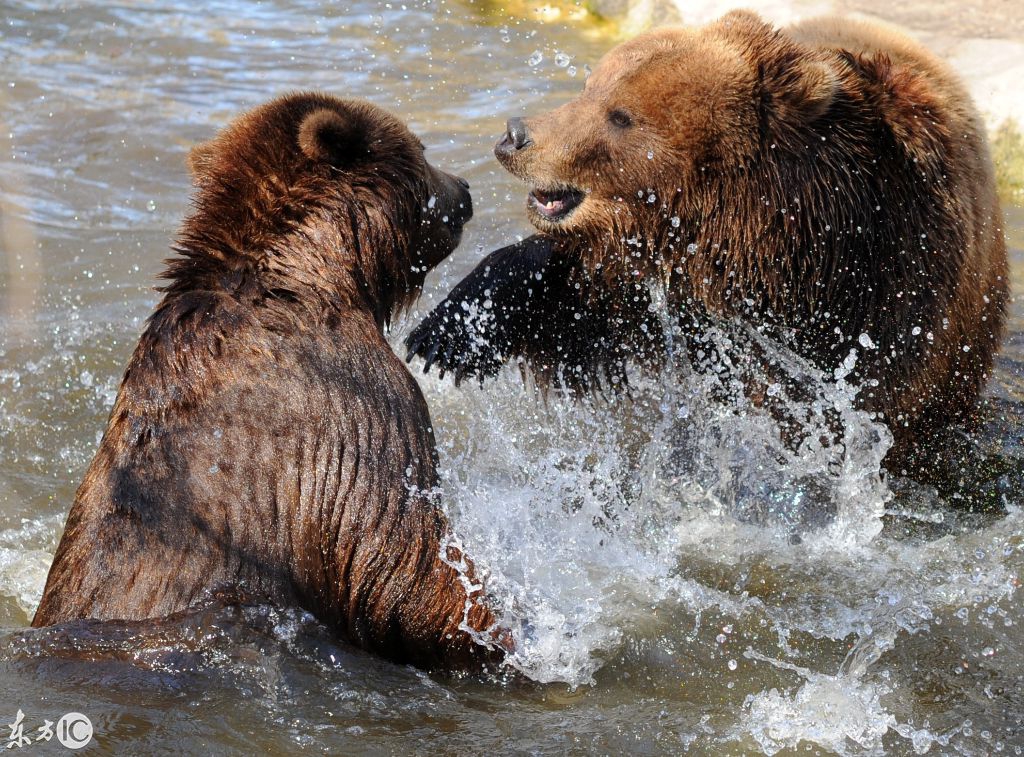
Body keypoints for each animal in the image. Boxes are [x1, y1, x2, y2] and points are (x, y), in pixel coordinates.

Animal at [407, 8, 1007, 473]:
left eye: (621, 115)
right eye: (589, 86)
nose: (516, 135)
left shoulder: (890, 294)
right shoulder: (660, 278)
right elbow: (578, 294)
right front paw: (448, 334)